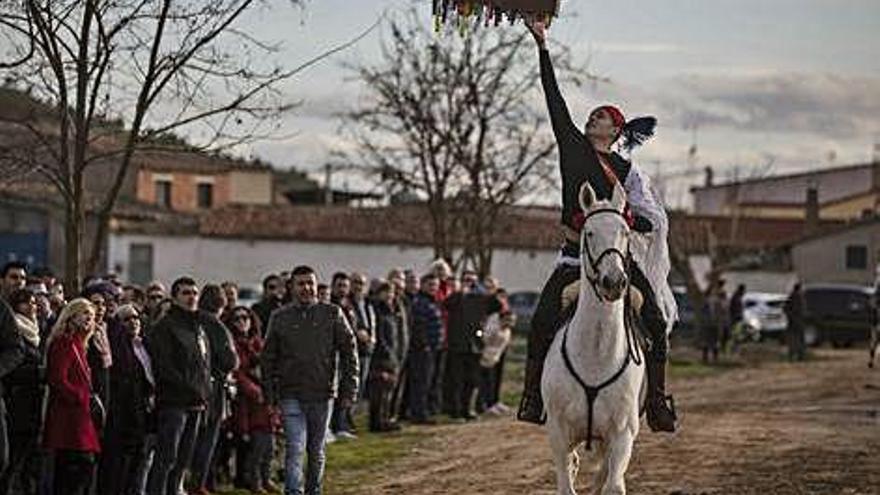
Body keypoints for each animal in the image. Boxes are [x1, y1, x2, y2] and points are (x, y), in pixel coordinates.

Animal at [544, 181, 648, 495]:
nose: (613, 282)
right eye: (589, 232)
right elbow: (566, 483)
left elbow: (613, 484)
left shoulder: (622, 435)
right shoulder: (558, 432)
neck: (596, 354)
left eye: (625, 232)